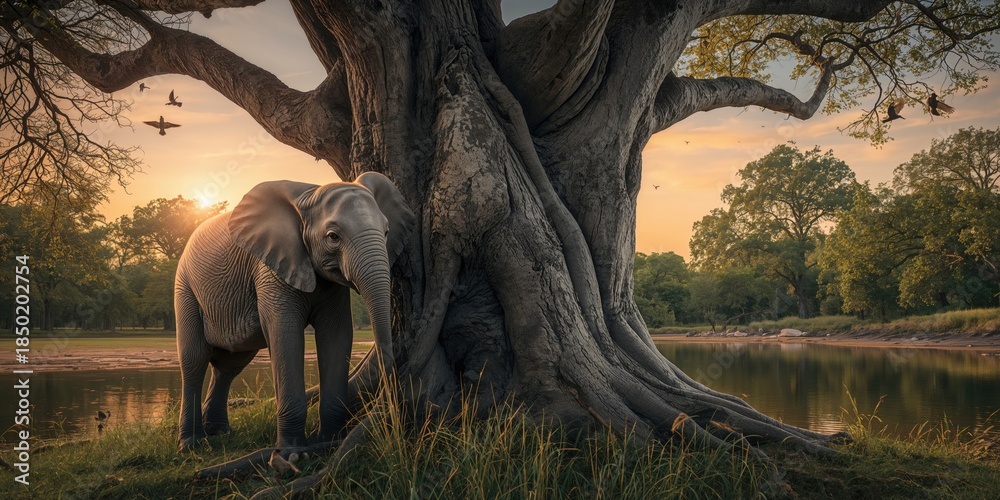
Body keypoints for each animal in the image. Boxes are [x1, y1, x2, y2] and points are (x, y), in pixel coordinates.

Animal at [173, 172, 414, 450]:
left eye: (386, 232)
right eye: (333, 237)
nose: (392, 407)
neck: (310, 193)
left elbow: (337, 334)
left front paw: (328, 441)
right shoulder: (271, 269)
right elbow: (285, 334)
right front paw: (292, 452)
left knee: (230, 364)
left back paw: (221, 432)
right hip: (185, 287)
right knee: (195, 359)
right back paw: (192, 444)